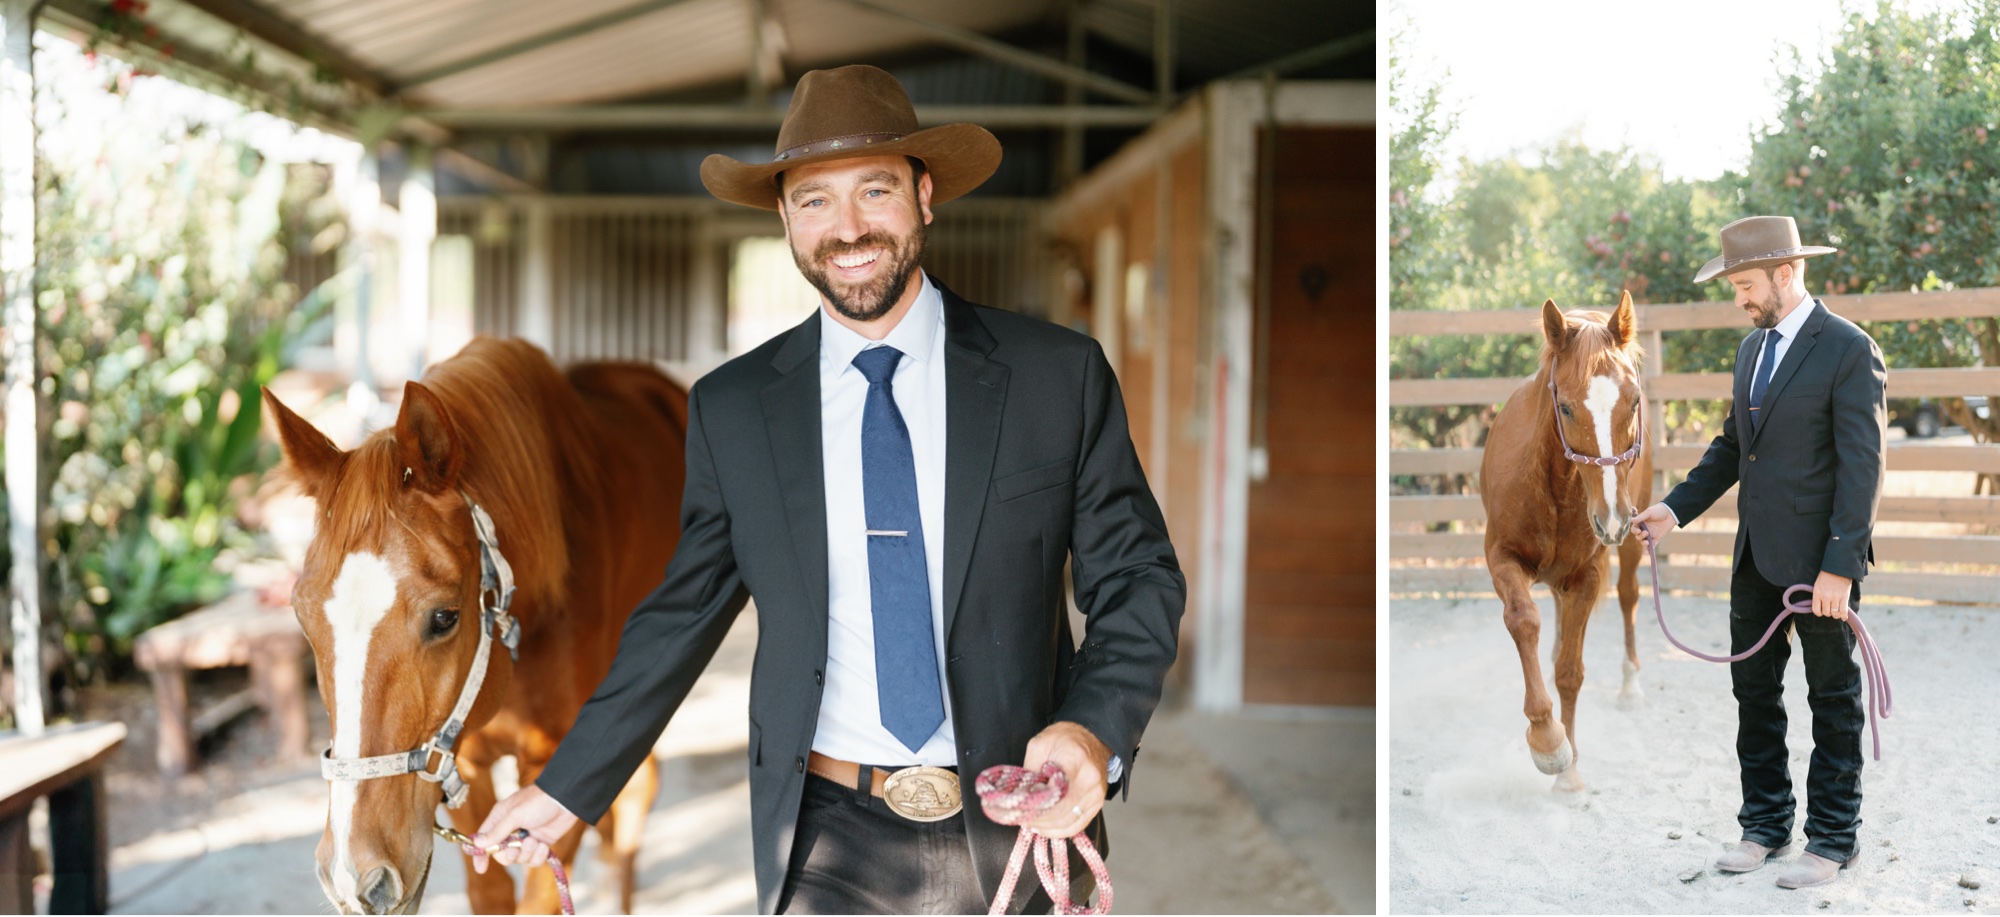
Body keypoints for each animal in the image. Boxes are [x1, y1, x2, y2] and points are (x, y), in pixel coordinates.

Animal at [266, 340, 688, 912]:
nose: (359, 878)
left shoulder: (559, 778)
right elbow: (489, 891)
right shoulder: (456, 766)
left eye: (445, 617)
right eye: (302, 618)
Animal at [1488, 292, 1656, 788]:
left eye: (1633, 402)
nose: (1611, 518)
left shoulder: (1587, 574)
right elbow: (1524, 621)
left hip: (1633, 539)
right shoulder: (1501, 557)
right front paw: (1547, 739)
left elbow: (1569, 672)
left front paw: (1569, 770)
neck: (1559, 490)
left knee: (1628, 596)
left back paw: (1630, 684)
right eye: (1564, 406)